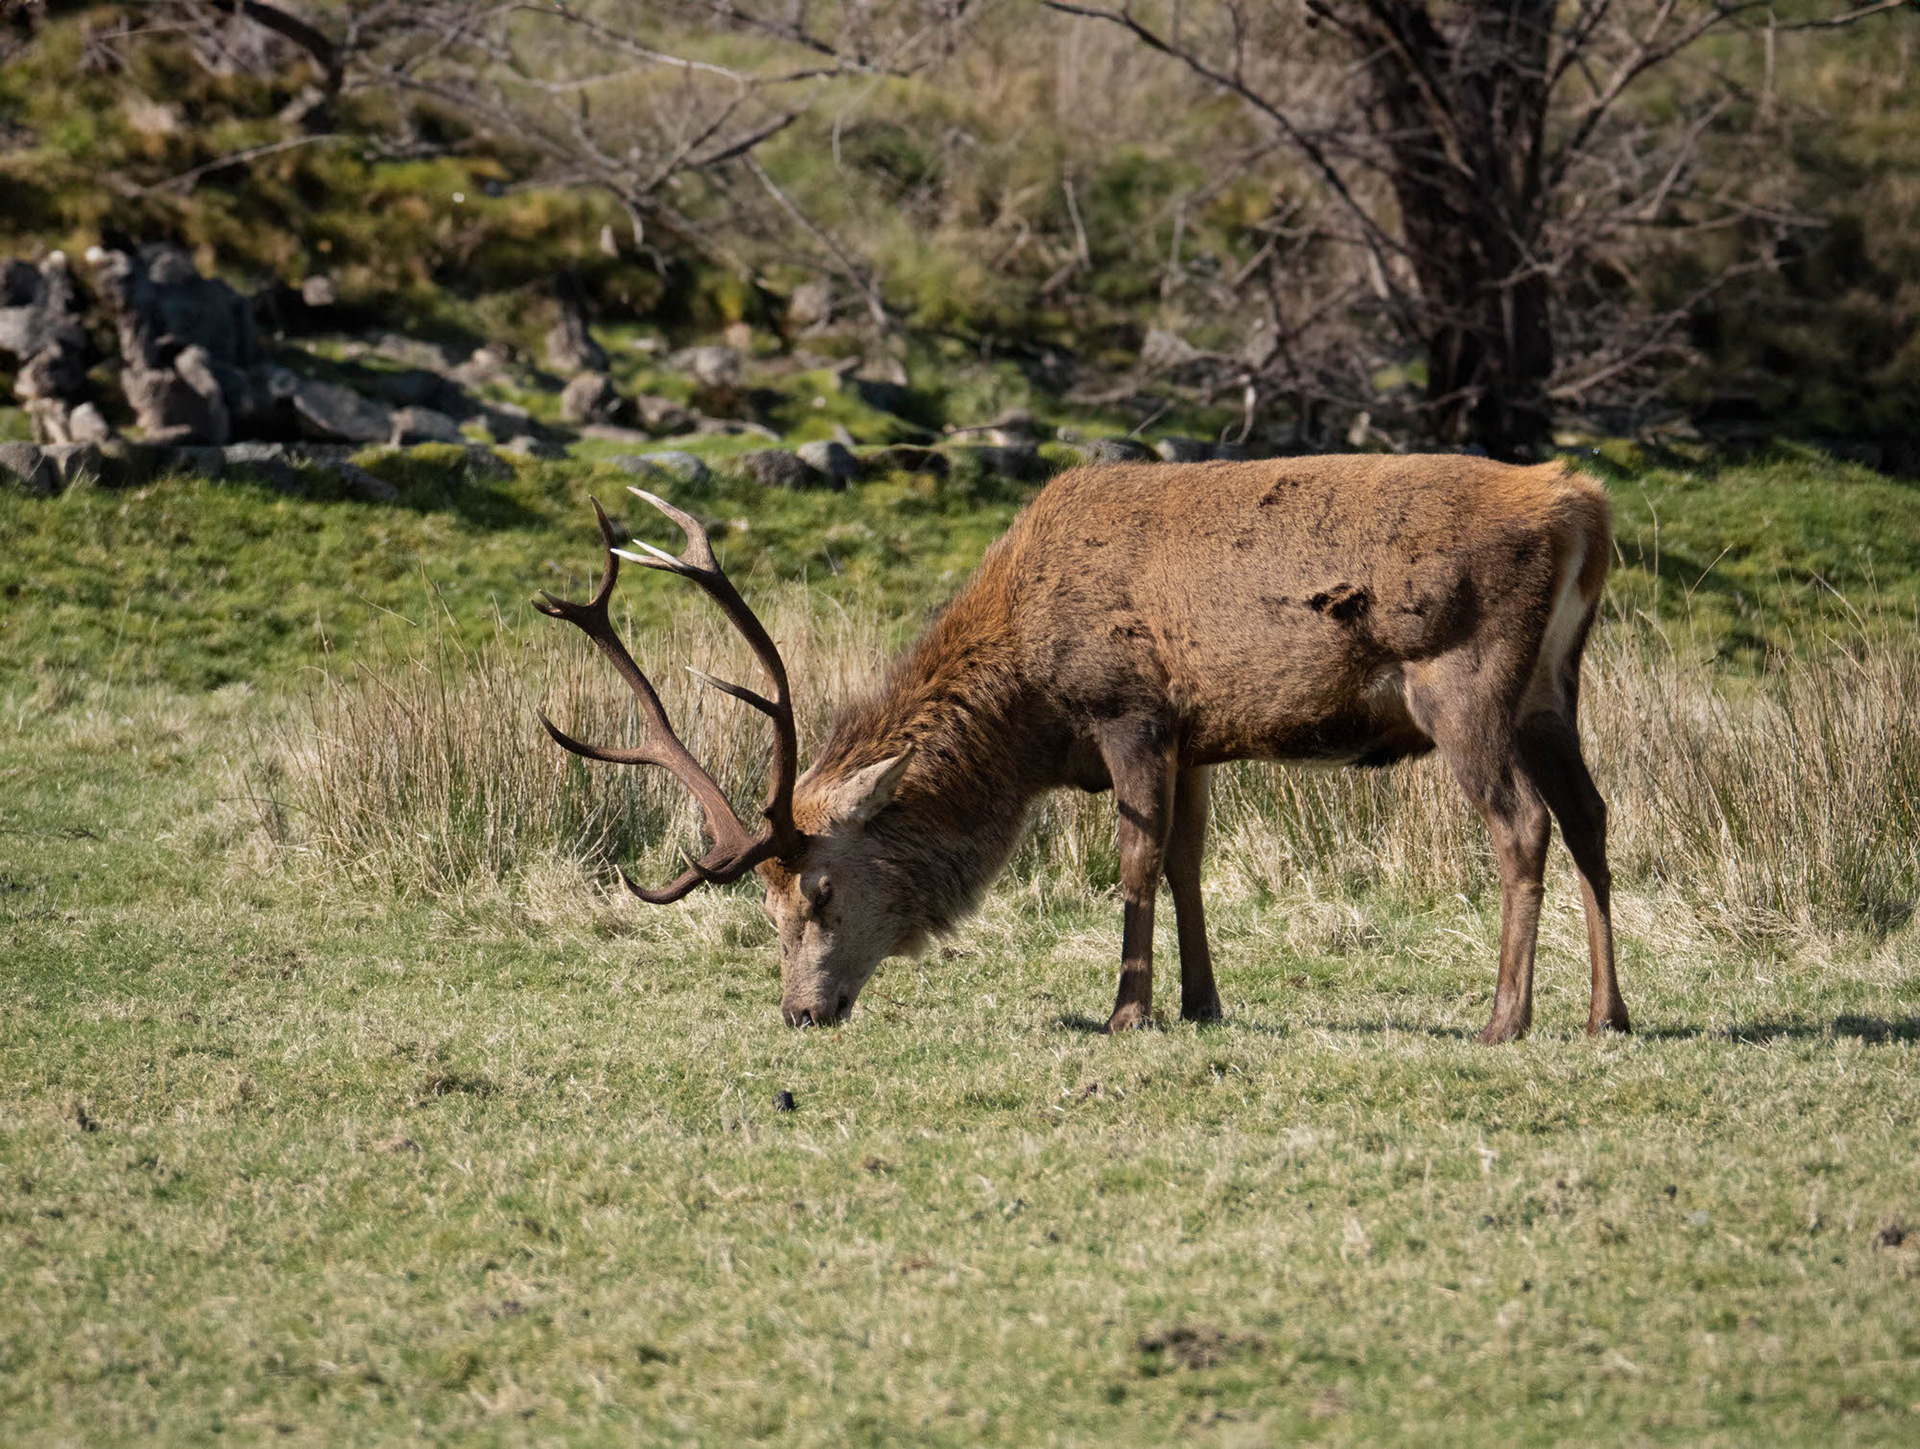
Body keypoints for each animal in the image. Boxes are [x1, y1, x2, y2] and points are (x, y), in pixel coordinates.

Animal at [535, 454, 1630, 1043]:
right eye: (764, 906)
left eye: (820, 890)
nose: (801, 1013)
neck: (1031, 713)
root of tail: (1582, 504)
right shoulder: (1197, 735)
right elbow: (1187, 861)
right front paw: (1200, 1003)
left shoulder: (1129, 706)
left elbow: (1135, 859)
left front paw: (1126, 1011)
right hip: (1553, 687)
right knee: (1592, 817)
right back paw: (1604, 1015)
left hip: (1463, 677)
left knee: (1523, 824)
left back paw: (1505, 1018)